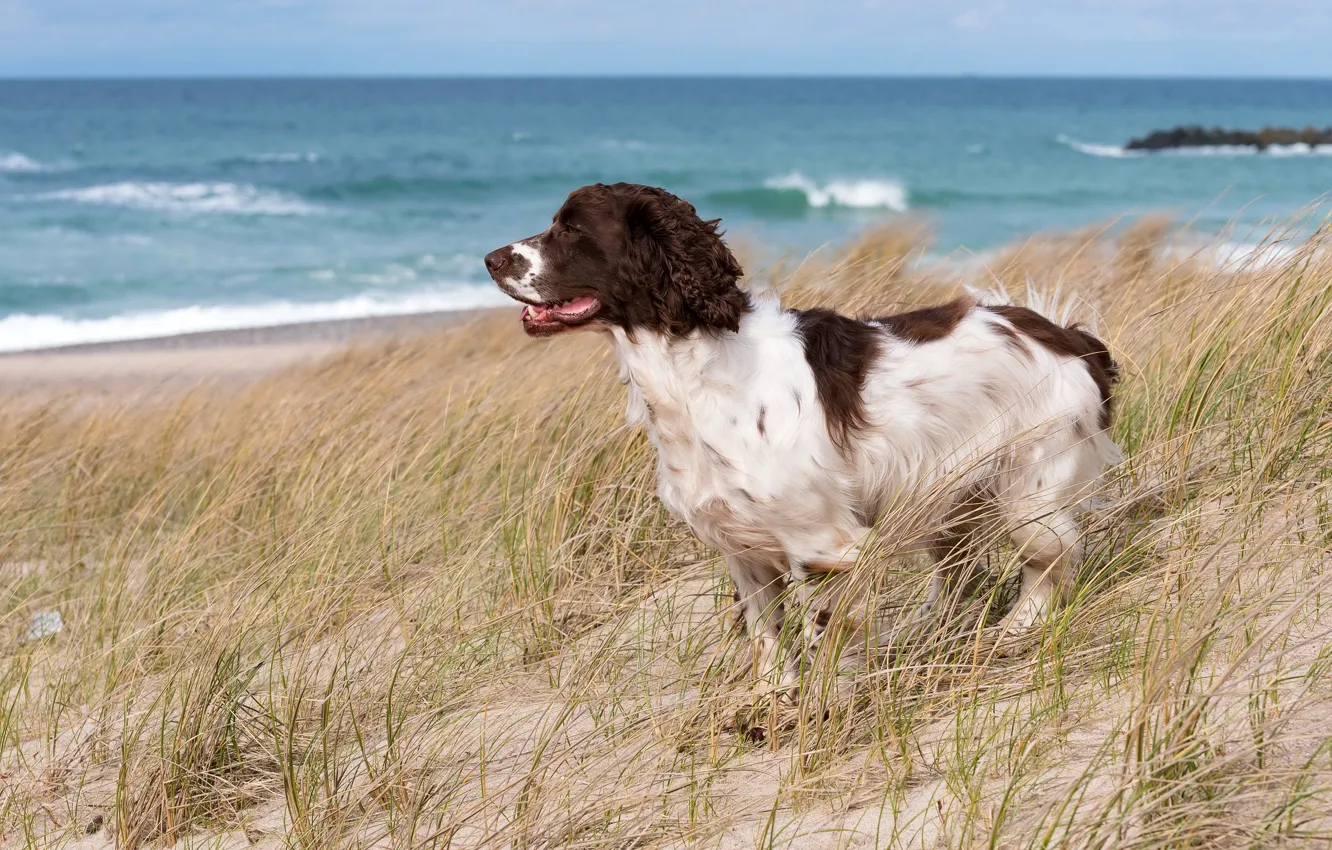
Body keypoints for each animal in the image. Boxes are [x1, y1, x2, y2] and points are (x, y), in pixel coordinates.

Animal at [484, 185, 1118, 692]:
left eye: (572, 227)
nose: (490, 258)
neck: (692, 371)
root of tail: (1066, 335)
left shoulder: (824, 546)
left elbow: (824, 636)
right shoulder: (743, 550)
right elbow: (765, 634)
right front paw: (772, 699)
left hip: (1029, 497)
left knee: (1054, 561)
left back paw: (1014, 630)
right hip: (949, 501)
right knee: (960, 572)